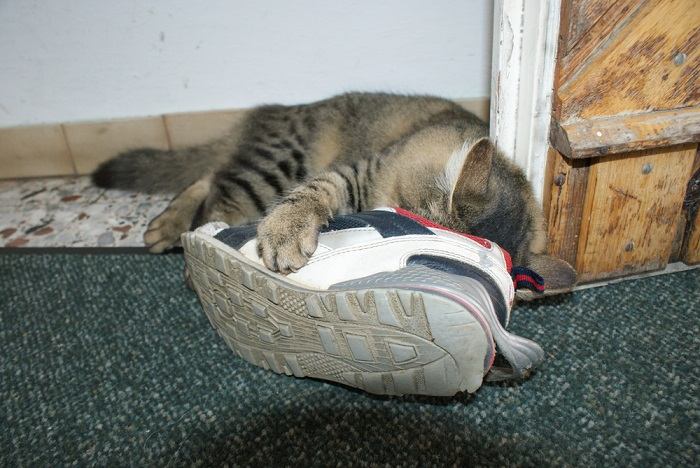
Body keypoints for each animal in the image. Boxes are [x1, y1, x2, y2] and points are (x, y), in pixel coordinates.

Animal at [91, 93, 576, 290]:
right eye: (409, 222)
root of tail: (270, 112)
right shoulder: (357, 172)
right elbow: (315, 191)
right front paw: (286, 230)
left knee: (211, 175)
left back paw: (167, 225)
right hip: (276, 165)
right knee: (219, 196)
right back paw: (193, 252)